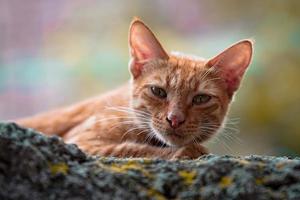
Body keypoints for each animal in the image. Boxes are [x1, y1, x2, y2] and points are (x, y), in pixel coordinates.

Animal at [15, 18, 252, 159]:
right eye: (158, 91)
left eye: (201, 99)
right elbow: (131, 148)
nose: (174, 119)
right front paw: (187, 151)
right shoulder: (83, 142)